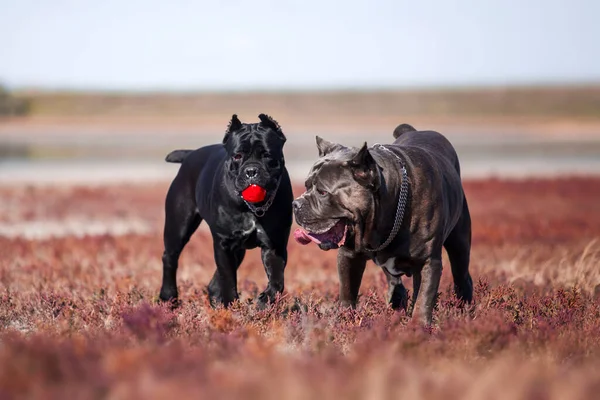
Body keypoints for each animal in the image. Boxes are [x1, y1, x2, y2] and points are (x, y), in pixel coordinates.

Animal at [158, 114, 292, 308]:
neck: (252, 208)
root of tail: (190, 154)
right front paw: (231, 307)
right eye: (237, 156)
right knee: (170, 258)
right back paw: (168, 298)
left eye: (267, 155)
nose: (251, 171)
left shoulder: (275, 244)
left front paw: (264, 302)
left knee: (214, 282)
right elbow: (228, 279)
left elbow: (277, 280)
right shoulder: (224, 243)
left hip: (239, 250)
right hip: (178, 226)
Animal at [292, 124, 474, 324]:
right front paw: (345, 319)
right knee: (395, 282)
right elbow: (347, 292)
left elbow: (424, 298)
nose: (295, 204)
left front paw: (419, 324)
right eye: (307, 185)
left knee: (461, 277)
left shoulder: (428, 262)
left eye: (323, 192)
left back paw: (464, 308)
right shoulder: (349, 256)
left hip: (459, 244)